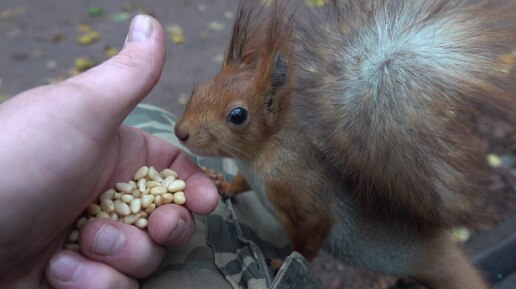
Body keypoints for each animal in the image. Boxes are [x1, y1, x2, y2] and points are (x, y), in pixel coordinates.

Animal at [174, 1, 516, 286]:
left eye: (237, 115)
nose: (180, 132)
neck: (259, 156)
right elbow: (240, 184)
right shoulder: (250, 175)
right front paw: (223, 183)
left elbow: (309, 239)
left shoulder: (303, 194)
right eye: (199, 89)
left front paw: (281, 263)